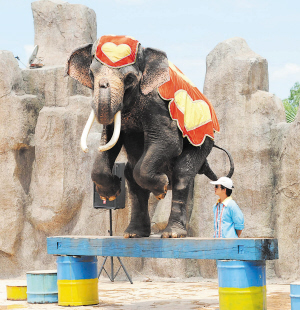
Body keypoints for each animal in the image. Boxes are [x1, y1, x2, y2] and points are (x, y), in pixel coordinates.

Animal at [66, 35, 234, 237]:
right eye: (91, 74)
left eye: (130, 78)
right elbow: (110, 141)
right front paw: (111, 193)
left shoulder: (156, 102)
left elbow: (168, 141)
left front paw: (162, 188)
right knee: (130, 175)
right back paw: (134, 234)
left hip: (204, 140)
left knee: (181, 174)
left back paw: (172, 233)